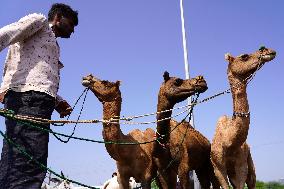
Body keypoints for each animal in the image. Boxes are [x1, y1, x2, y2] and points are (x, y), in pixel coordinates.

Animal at [211, 46, 276, 189]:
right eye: (244, 56)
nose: (267, 50)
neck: (229, 142)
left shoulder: (241, 164)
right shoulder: (217, 167)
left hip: (249, 162)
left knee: (252, 181)